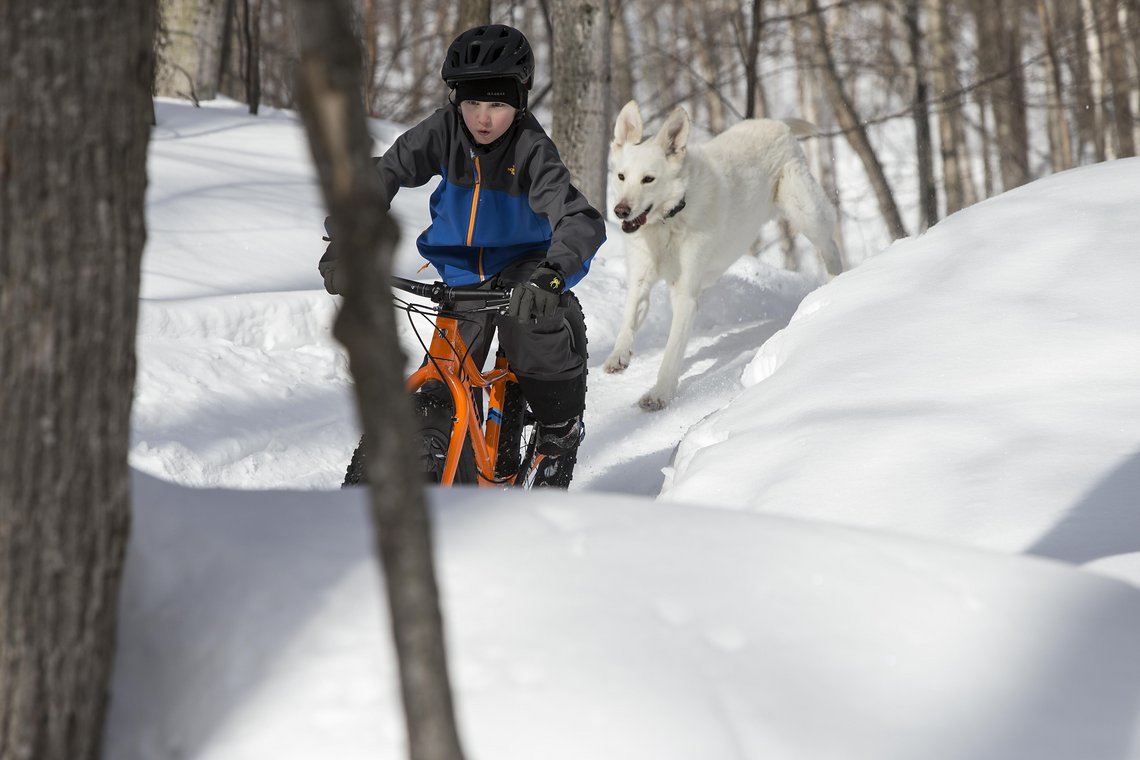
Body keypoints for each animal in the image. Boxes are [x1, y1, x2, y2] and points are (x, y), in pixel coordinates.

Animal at [601, 101, 843, 412]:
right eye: (621, 176)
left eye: (648, 179)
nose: (620, 211)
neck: (669, 221)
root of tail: (775, 123)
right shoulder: (641, 281)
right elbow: (628, 322)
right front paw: (618, 357)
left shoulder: (686, 295)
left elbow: (672, 352)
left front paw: (660, 394)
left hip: (806, 214)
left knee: (830, 246)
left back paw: (837, 285)